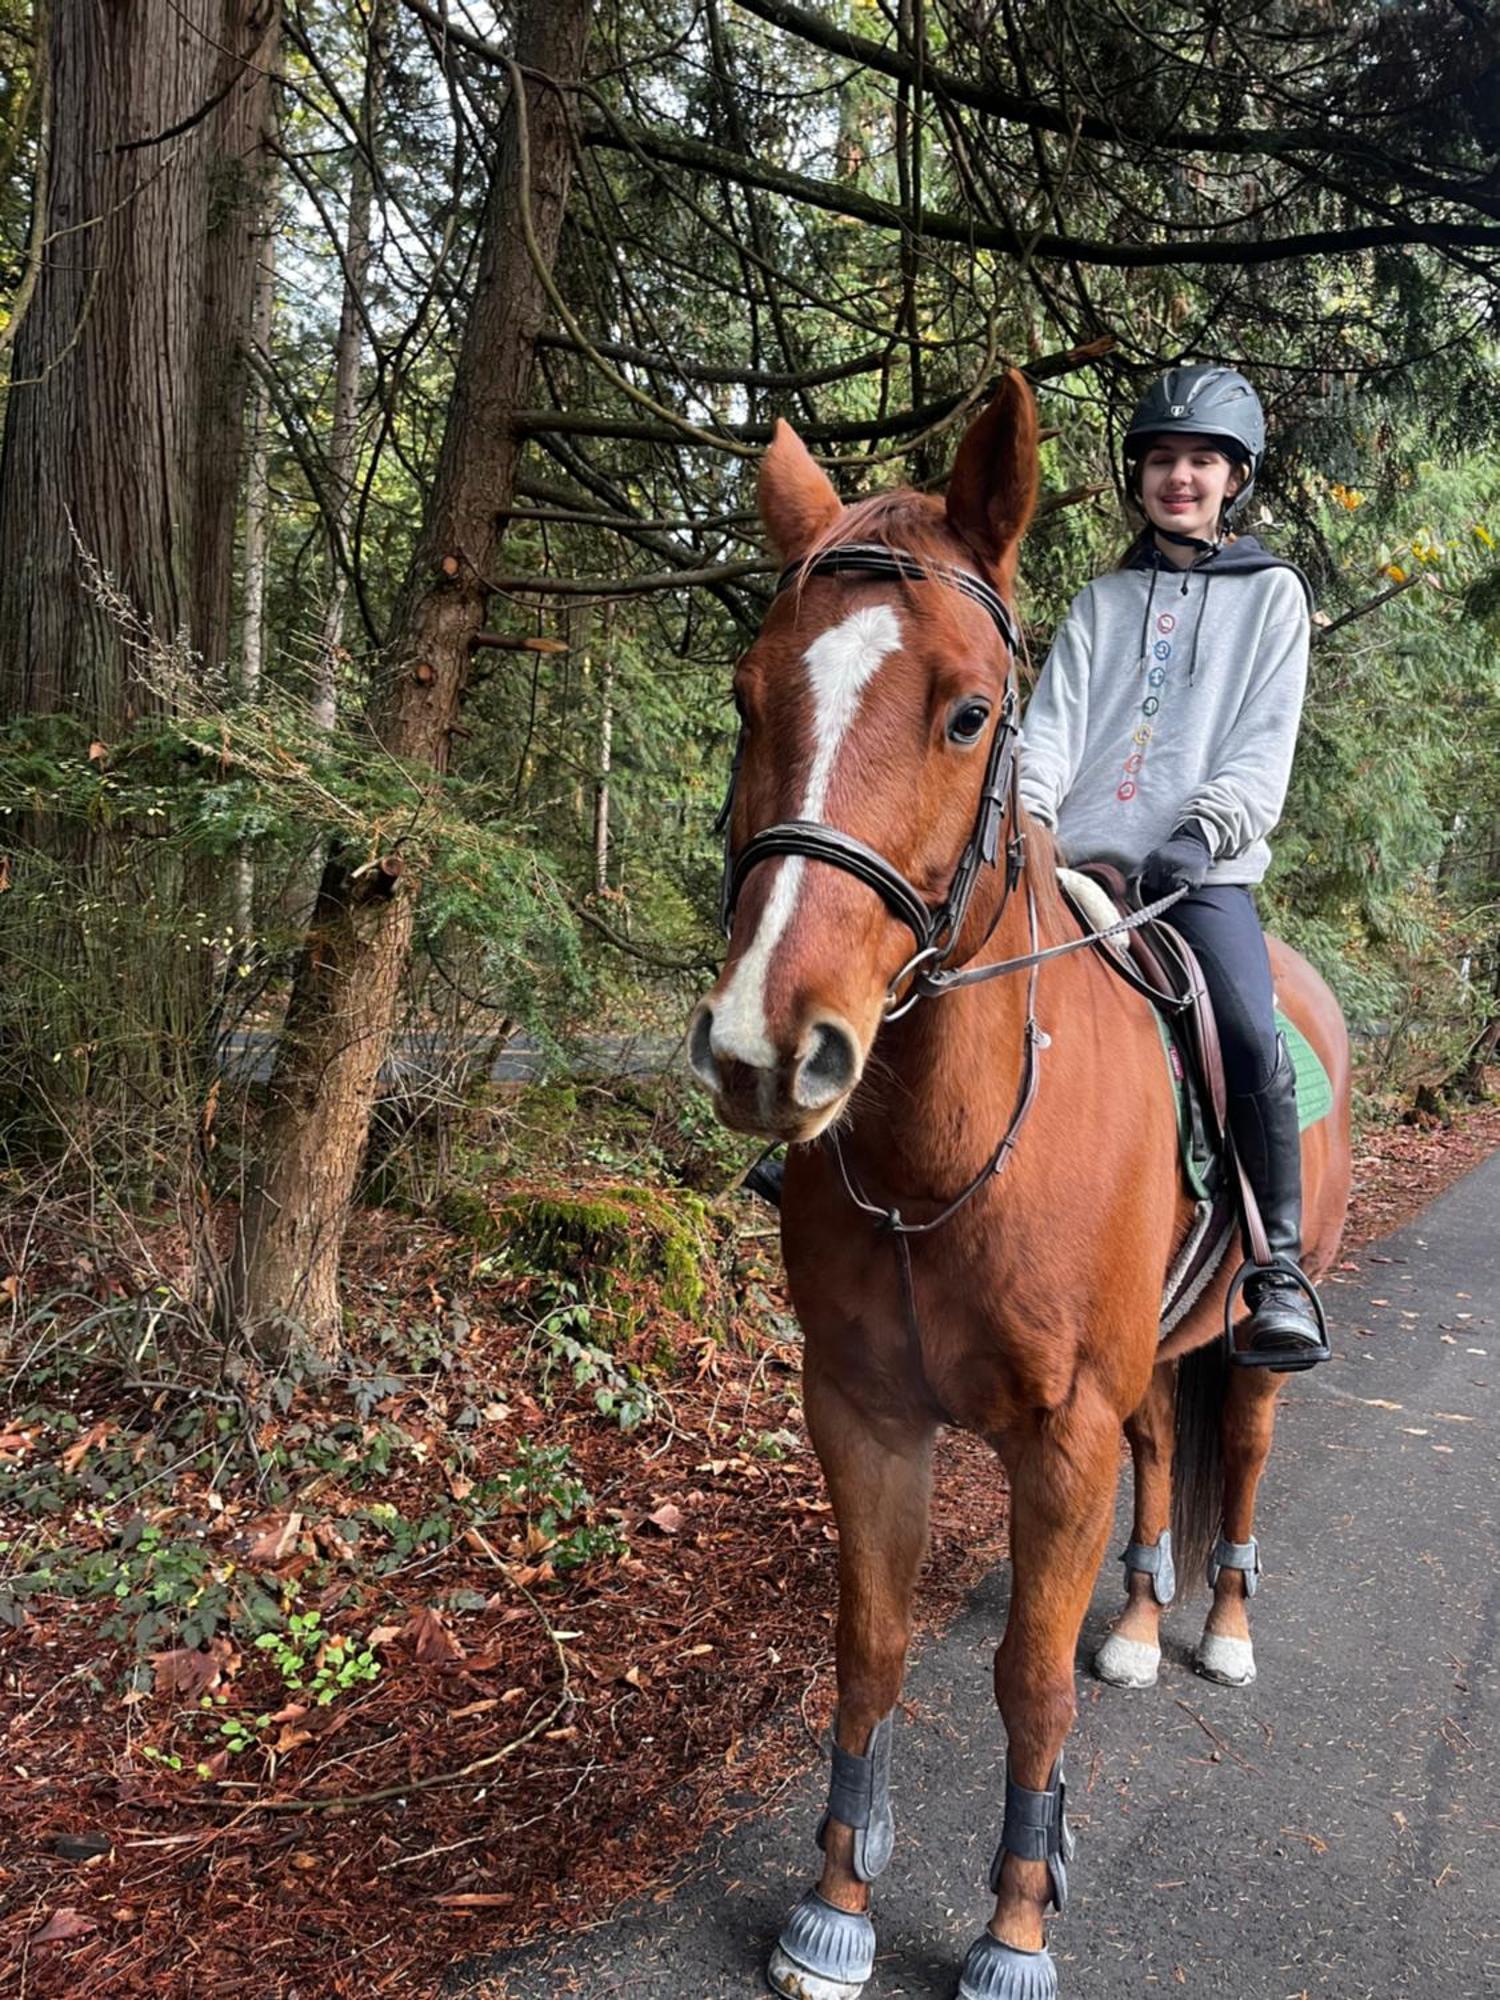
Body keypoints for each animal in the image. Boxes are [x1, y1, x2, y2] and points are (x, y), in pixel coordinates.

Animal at [692, 376, 1352, 2000]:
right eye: (749, 699)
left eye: (968, 712)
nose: (766, 1048)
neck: (946, 1153)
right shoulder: (865, 1410)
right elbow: (868, 1651)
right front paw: (836, 1910)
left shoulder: (1057, 1436)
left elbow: (1028, 1680)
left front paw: (1015, 1925)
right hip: (1143, 1359)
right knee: (1168, 1452)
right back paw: (1143, 1622)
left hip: (1249, 1342)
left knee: (1240, 1451)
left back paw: (1217, 1629)